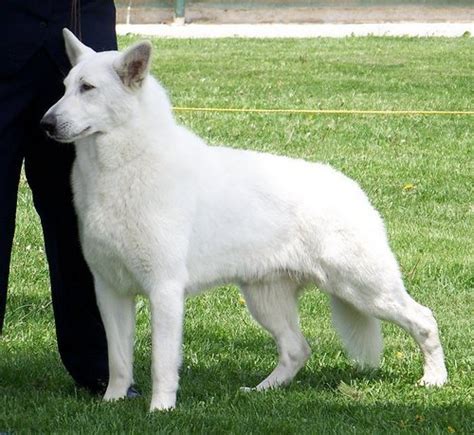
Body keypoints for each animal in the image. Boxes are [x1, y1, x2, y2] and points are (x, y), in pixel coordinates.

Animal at [41, 30, 448, 412]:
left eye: (88, 88)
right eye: (64, 88)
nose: (45, 124)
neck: (120, 168)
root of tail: (353, 189)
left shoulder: (164, 290)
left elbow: (161, 363)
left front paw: (161, 410)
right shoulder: (110, 291)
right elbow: (119, 361)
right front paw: (112, 402)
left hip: (362, 288)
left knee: (424, 319)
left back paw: (435, 380)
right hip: (266, 300)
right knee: (297, 349)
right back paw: (263, 391)